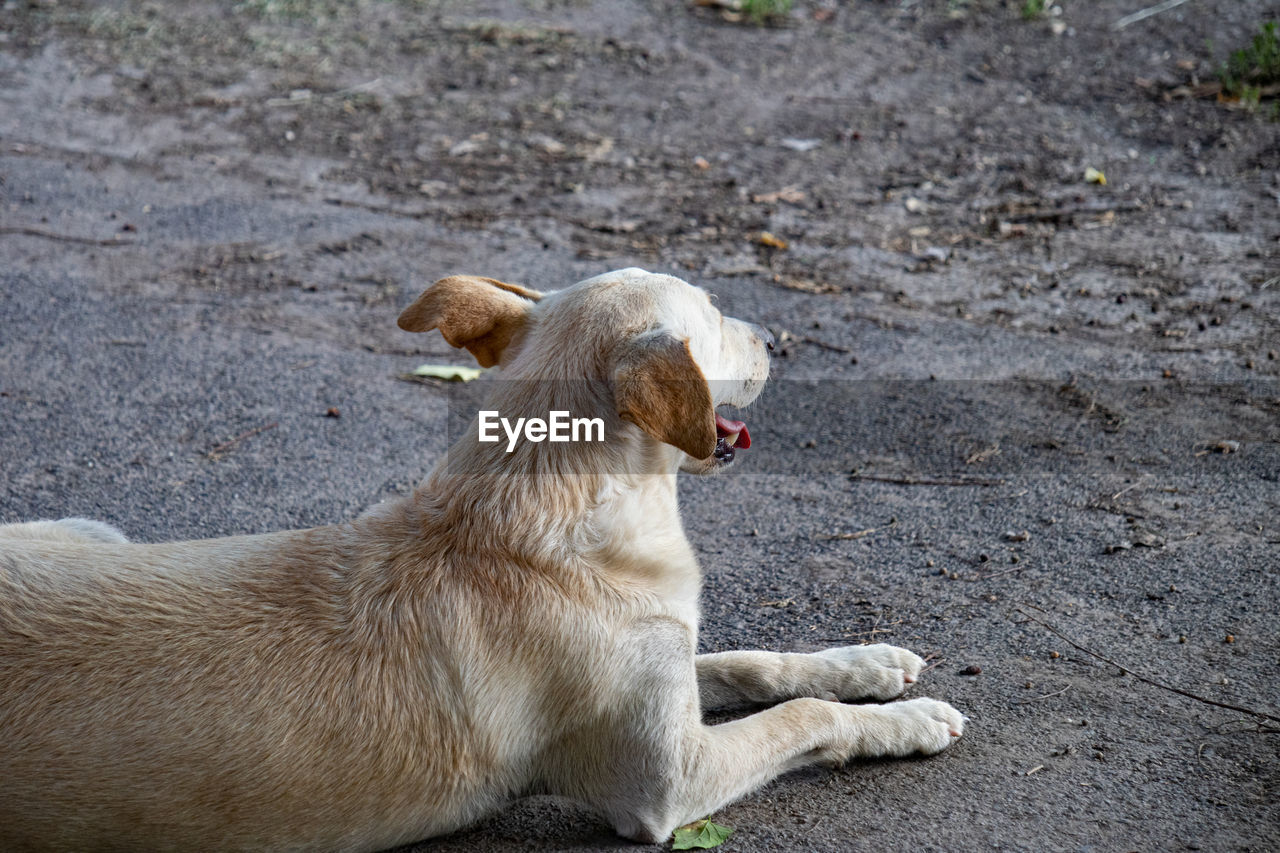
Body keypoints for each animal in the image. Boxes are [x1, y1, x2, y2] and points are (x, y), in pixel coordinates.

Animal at [0, 268, 962, 845]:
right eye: (715, 323)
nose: (775, 338)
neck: (534, 514)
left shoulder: (668, 664)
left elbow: (754, 662)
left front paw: (869, 663)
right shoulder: (669, 780)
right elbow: (802, 719)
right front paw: (906, 721)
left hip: (95, 529)